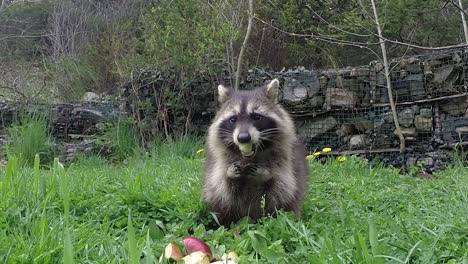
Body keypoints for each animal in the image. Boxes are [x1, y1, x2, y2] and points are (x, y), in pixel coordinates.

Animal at [202, 78, 308, 225]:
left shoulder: (286, 160)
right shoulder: (218, 164)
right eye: (233, 119)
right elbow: (221, 186)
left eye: (257, 117)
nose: (243, 138)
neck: (249, 157)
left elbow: (282, 185)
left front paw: (264, 174)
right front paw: (230, 174)